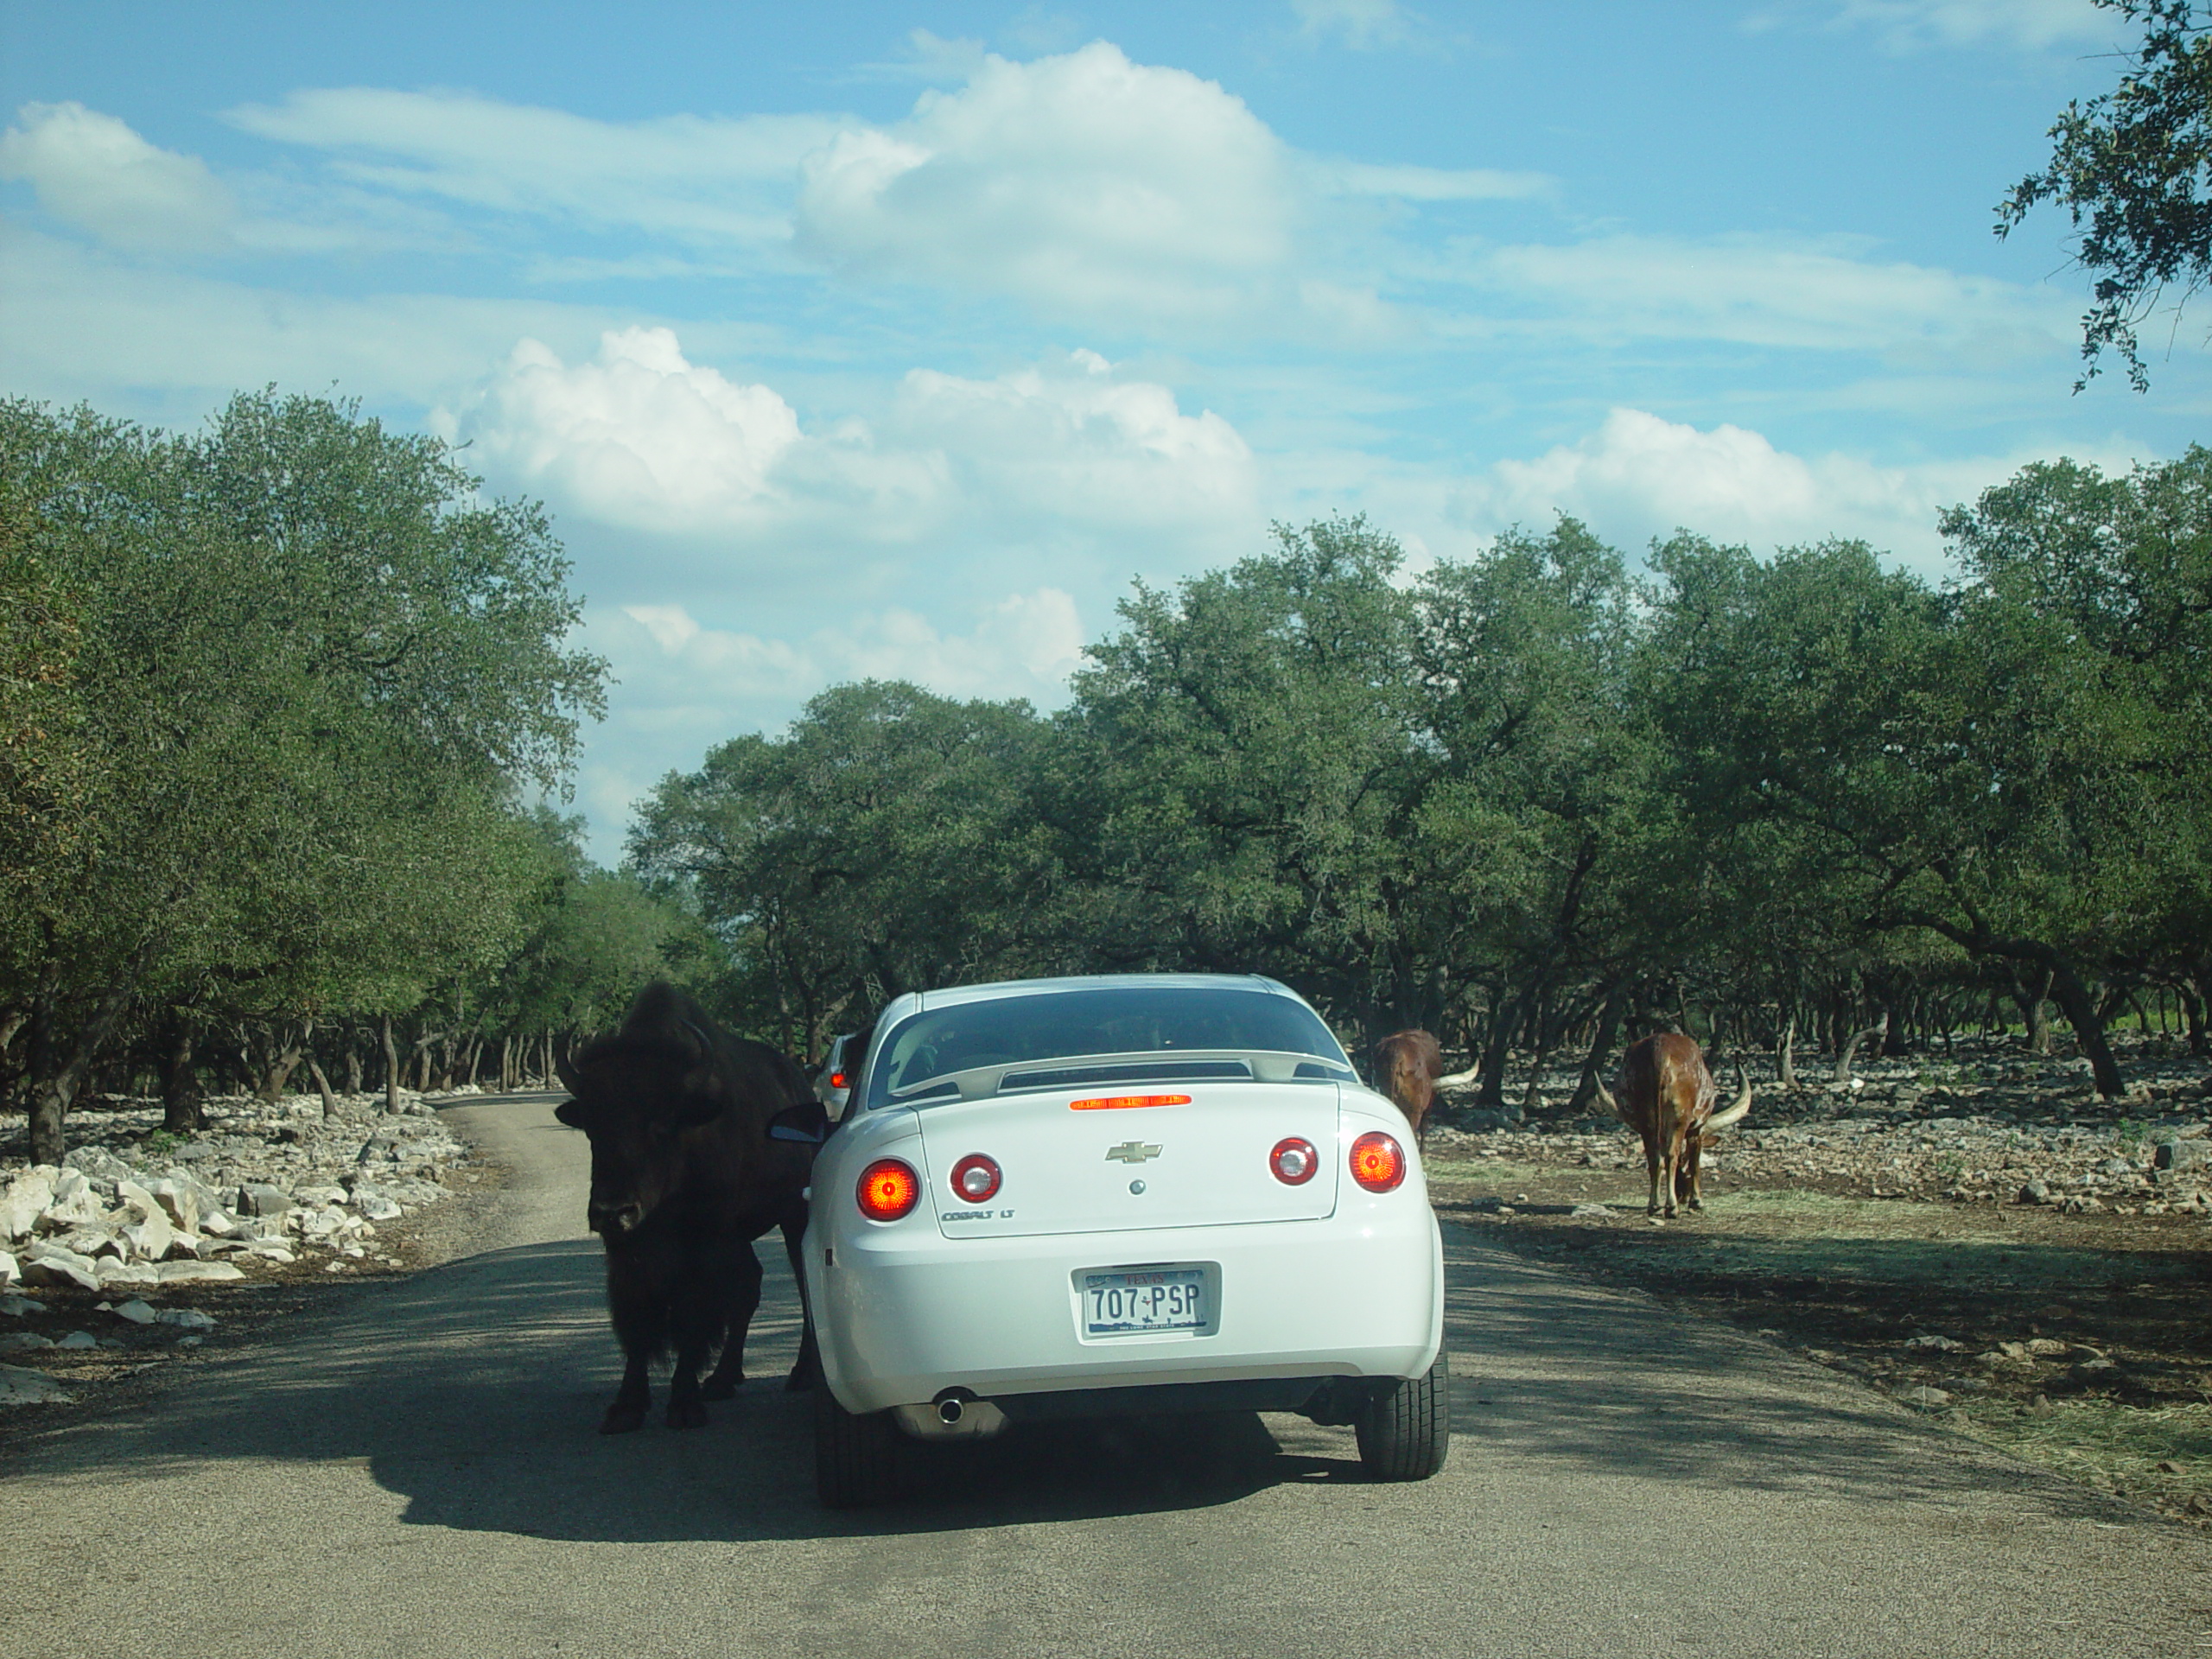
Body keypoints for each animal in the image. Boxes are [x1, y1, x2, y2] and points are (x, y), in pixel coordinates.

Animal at [553, 982, 831, 1433]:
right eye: (593, 1127)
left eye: (662, 1125)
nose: (614, 1211)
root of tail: (802, 1088)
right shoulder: (627, 1252)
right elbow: (637, 1317)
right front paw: (626, 1407)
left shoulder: (703, 1240)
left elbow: (691, 1314)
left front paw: (684, 1405)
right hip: (741, 1234)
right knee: (749, 1286)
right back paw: (722, 1379)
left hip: (792, 1217)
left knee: (800, 1287)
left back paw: (800, 1373)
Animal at [1601, 1039, 1751, 1221]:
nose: (1682, 1196)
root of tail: (1659, 1050)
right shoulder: (1697, 1129)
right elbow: (1694, 1163)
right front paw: (1697, 1201)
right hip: (1679, 1120)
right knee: (1671, 1155)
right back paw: (1671, 1207)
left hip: (1647, 1121)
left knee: (1654, 1157)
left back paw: (1654, 1205)